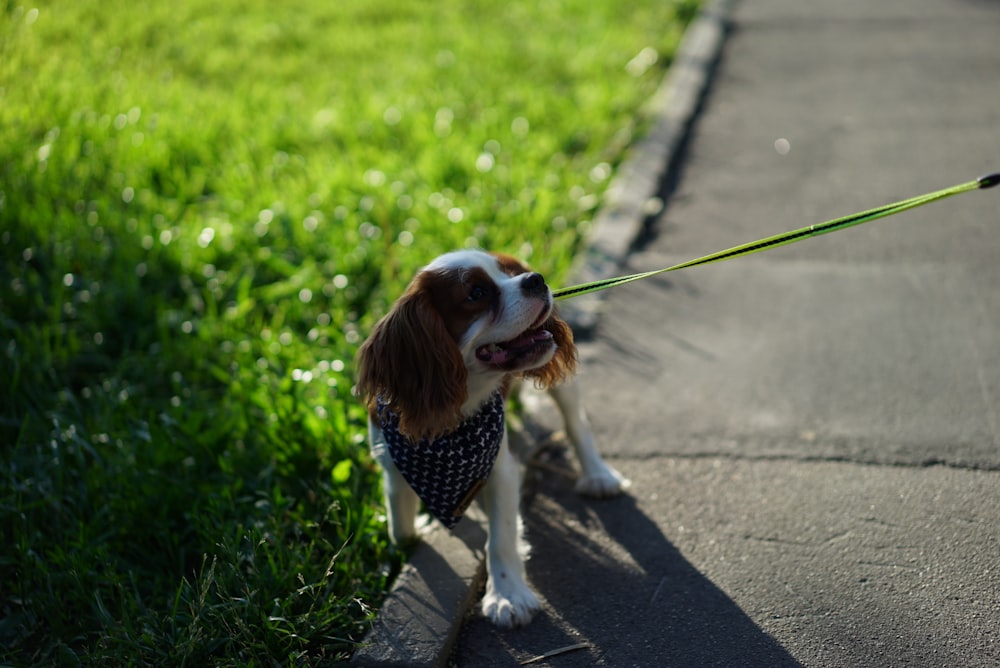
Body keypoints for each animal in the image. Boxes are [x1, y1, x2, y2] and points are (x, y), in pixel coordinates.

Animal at [356, 248, 624, 628]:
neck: (454, 417)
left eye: (510, 274)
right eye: (477, 293)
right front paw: (416, 532)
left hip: (564, 386)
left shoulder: (500, 469)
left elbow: (501, 537)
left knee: (576, 422)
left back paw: (598, 475)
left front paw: (508, 595)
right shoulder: (391, 461)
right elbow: (400, 528)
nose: (535, 279)